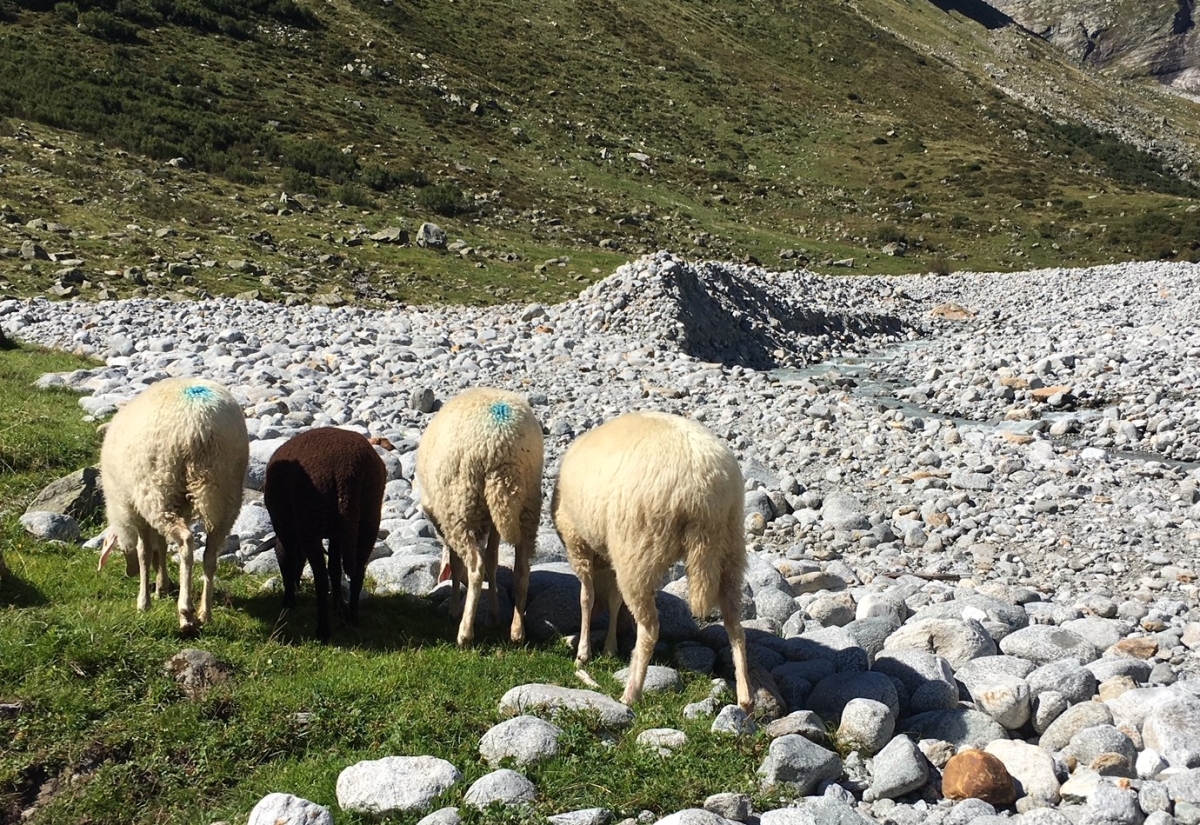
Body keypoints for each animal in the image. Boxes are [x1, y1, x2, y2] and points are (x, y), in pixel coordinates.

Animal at [98, 377, 249, 632]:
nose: (129, 574)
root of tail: (201, 426)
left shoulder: (135, 508)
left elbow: (145, 551)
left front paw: (144, 601)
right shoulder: (179, 508)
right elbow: (160, 543)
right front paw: (162, 585)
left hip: (157, 489)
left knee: (186, 542)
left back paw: (186, 613)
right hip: (225, 492)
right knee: (210, 554)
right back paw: (205, 612)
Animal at [263, 426, 386, 643]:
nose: (297, 587)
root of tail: (348, 470)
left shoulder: (286, 530)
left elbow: (287, 559)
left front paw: (289, 601)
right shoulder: (337, 534)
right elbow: (335, 569)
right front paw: (338, 606)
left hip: (310, 522)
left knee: (320, 578)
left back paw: (322, 631)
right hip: (368, 517)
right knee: (358, 571)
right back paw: (352, 618)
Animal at [416, 387, 543, 647]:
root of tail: (503, 447)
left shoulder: (447, 518)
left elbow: (457, 564)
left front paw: (454, 609)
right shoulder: (493, 522)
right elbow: (493, 561)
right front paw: (493, 615)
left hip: (460, 505)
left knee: (475, 567)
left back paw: (465, 632)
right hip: (526, 505)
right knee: (522, 569)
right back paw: (517, 631)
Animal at [552, 410, 754, 711]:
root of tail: (706, 495)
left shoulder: (579, 543)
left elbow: (587, 598)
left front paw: (584, 652)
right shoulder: (611, 557)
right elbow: (613, 600)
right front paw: (609, 647)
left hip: (638, 548)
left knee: (650, 628)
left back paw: (631, 692)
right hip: (730, 546)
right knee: (735, 626)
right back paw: (745, 696)